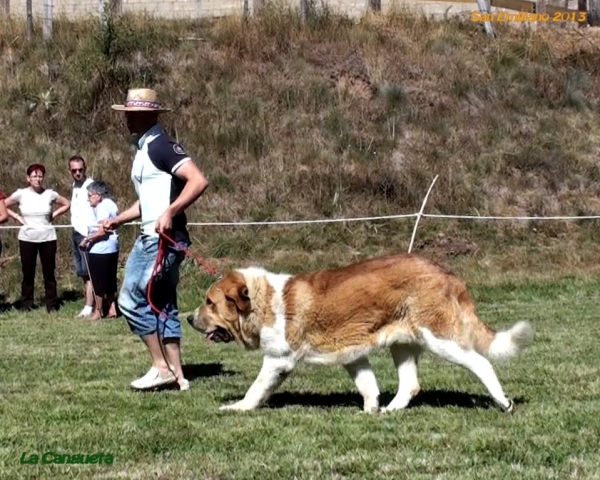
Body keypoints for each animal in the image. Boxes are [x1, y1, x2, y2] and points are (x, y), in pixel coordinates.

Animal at [189, 253, 536, 414]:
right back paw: (390, 410)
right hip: (403, 343)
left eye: (210, 302)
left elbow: (256, 389)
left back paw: (503, 402)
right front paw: (370, 410)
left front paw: (237, 408)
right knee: (410, 384)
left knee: (481, 363)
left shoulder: (278, 360)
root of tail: (446, 273)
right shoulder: (352, 354)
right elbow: (368, 384)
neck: (262, 300)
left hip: (440, 339)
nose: (190, 318)